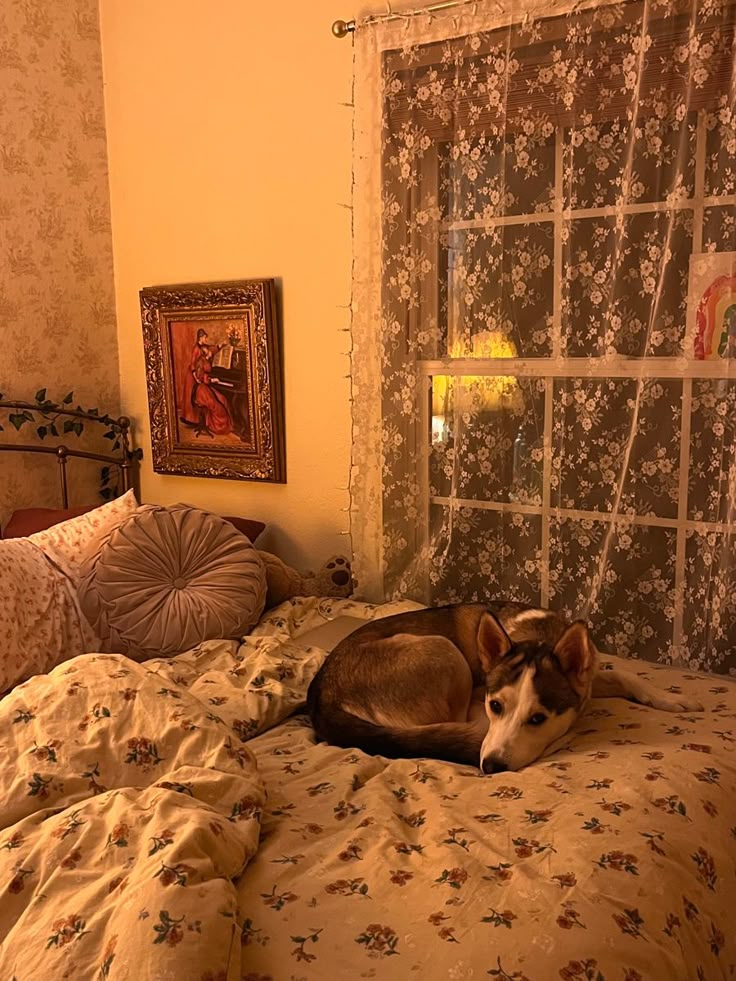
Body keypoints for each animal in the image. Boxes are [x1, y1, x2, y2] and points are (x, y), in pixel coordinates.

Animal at [306, 596, 708, 772]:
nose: (492, 766)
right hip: (444, 651)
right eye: (495, 706)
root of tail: (322, 692)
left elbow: (625, 674)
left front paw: (671, 699)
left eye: (538, 718)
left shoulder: (585, 679)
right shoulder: (477, 703)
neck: (539, 636)